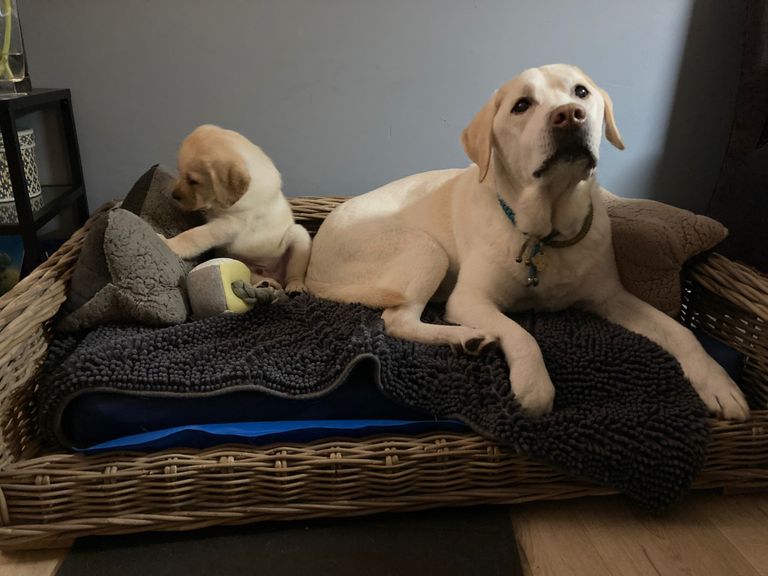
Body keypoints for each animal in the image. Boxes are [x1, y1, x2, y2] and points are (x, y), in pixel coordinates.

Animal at [164, 126, 310, 294]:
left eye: (193, 181)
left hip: (298, 236)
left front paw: (169, 244)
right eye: (179, 172)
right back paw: (265, 284)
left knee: (294, 272)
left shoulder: (230, 224)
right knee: (258, 278)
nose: (174, 195)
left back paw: (295, 286)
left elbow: (195, 235)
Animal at [308, 65, 752, 420]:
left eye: (581, 92)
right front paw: (534, 384)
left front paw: (718, 383)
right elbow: (521, 334)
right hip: (425, 250)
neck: (547, 233)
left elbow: (681, 333)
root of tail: (314, 260)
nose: (569, 115)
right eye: (521, 105)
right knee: (397, 321)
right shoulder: (469, 299)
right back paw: (464, 337)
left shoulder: (611, 297)